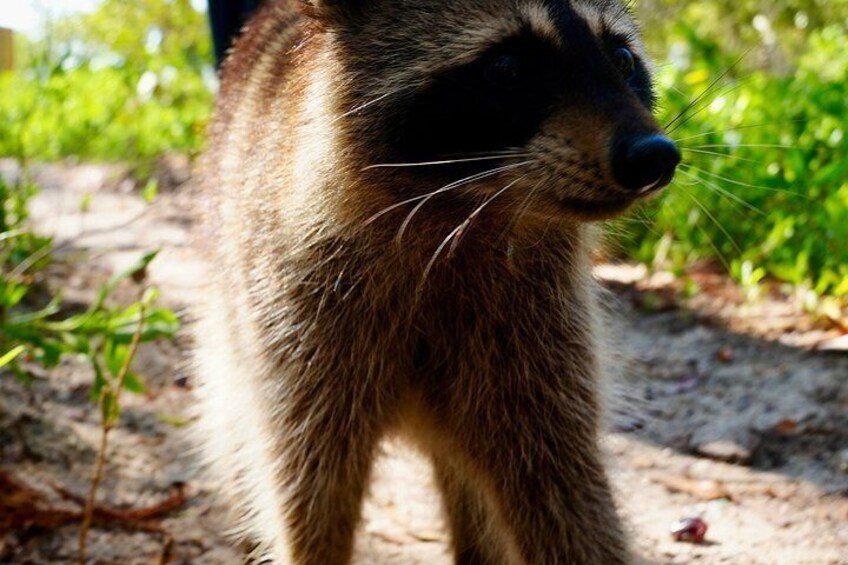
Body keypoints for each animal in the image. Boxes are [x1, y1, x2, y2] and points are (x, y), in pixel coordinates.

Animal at [193, 1, 680, 563]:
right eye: (507, 68)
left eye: (622, 58)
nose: (654, 155)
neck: (463, 208)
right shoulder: (299, 318)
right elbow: (308, 493)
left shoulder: (539, 337)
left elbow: (565, 490)